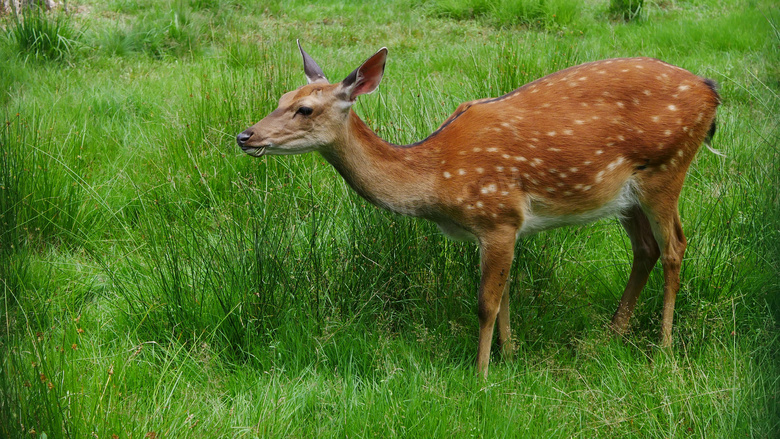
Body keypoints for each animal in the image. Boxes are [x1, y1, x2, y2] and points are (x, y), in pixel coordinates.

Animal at [236, 42, 720, 378]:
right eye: (281, 97)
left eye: (305, 108)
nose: (245, 135)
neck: (437, 178)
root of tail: (712, 93)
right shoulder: (501, 228)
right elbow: (505, 294)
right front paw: (511, 355)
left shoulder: (498, 214)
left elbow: (486, 302)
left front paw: (482, 373)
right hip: (625, 194)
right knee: (645, 249)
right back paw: (612, 334)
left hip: (667, 167)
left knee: (675, 246)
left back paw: (663, 346)